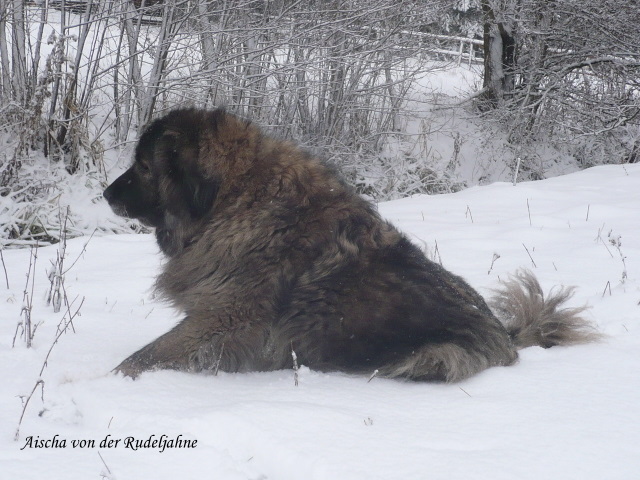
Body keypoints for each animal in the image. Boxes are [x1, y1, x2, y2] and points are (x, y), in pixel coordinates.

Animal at [103, 108, 599, 381]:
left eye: (144, 167)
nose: (106, 194)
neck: (233, 202)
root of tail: (507, 338)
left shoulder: (224, 319)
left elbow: (145, 357)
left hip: (437, 355)